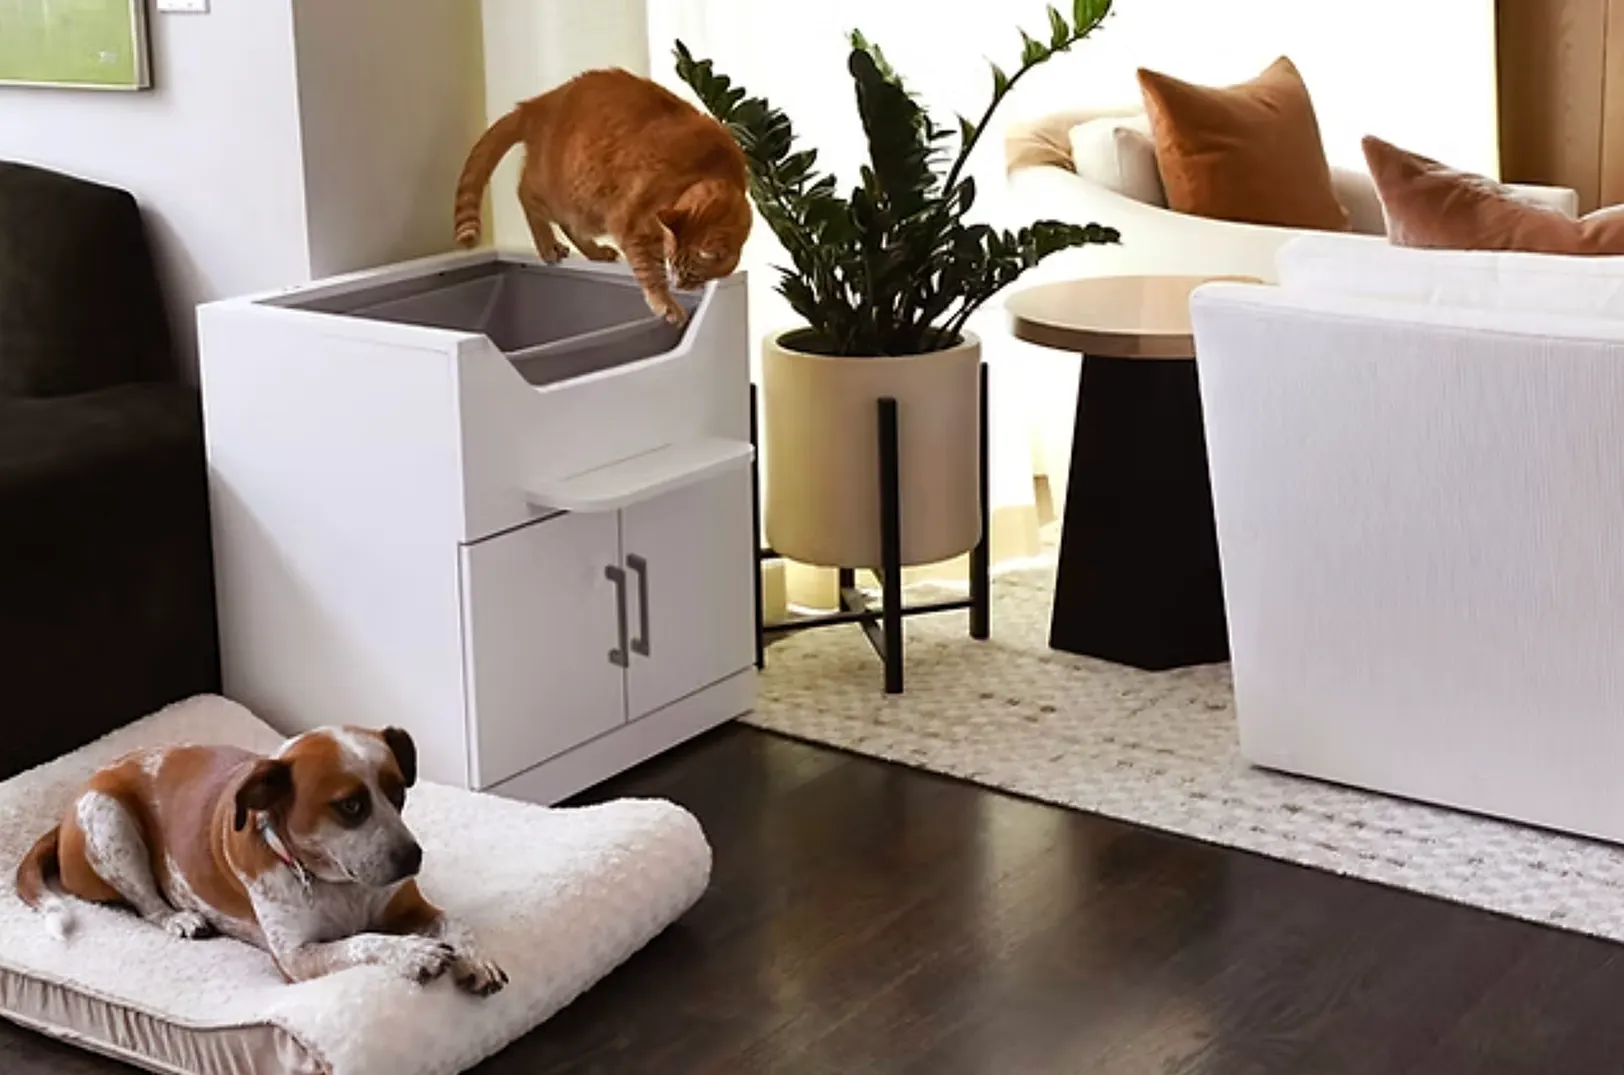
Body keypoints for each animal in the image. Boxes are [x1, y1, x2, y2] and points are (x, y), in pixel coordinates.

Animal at [12, 727, 503, 1000]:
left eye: (398, 792)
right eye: (350, 805)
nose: (413, 856)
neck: (333, 882)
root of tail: (67, 811)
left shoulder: (410, 908)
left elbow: (455, 922)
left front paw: (476, 960)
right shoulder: (297, 958)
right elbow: (363, 942)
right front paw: (413, 952)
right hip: (107, 819)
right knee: (146, 903)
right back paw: (180, 919)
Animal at [454, 68, 750, 324]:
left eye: (689, 270)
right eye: (678, 266)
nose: (679, 282)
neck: (712, 170)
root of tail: (536, 104)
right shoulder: (630, 223)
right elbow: (649, 271)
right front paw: (665, 304)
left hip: (585, 205)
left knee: (569, 225)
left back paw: (594, 252)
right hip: (562, 193)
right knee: (525, 194)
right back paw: (547, 245)